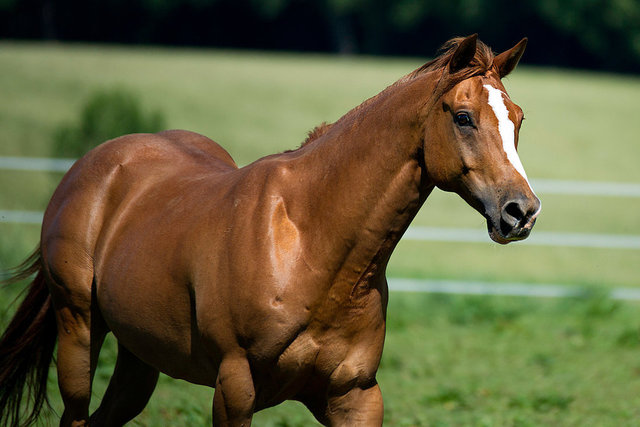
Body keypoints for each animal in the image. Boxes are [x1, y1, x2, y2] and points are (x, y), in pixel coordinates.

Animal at [0, 34, 540, 426]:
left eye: (517, 119)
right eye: (464, 117)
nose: (522, 211)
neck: (311, 245)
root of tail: (91, 167)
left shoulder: (356, 396)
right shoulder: (234, 389)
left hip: (139, 358)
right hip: (79, 331)